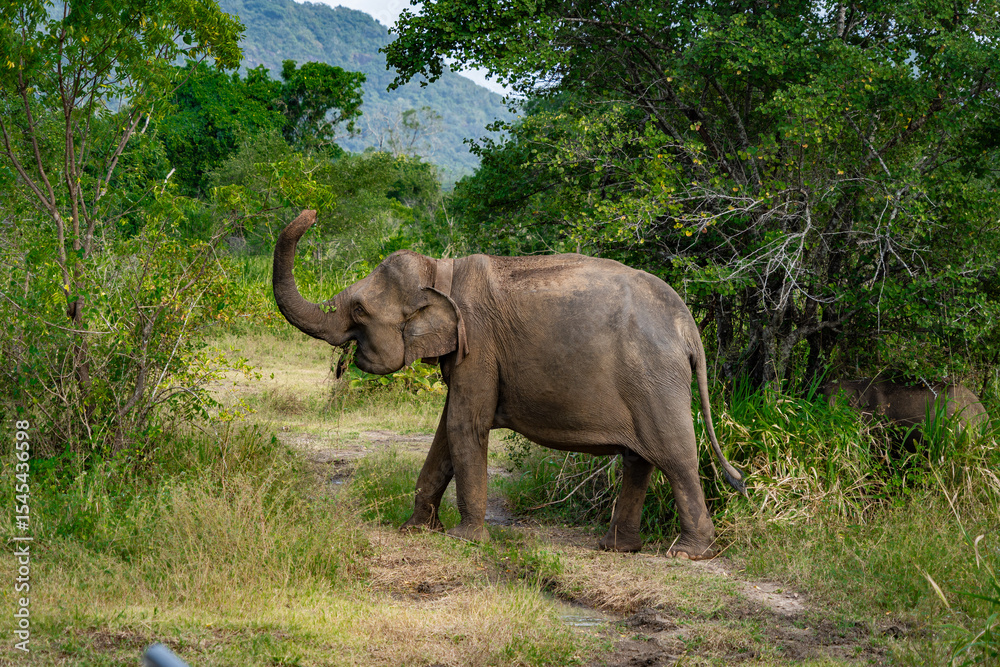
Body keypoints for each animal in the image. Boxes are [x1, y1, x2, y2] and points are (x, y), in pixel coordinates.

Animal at [273, 210, 746, 559]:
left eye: (357, 308)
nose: (312, 213)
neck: (441, 271)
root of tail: (688, 327)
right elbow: (445, 432)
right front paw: (415, 530)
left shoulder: (478, 345)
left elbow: (464, 425)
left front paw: (463, 540)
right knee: (639, 459)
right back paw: (617, 548)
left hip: (654, 378)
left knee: (674, 455)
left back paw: (688, 553)